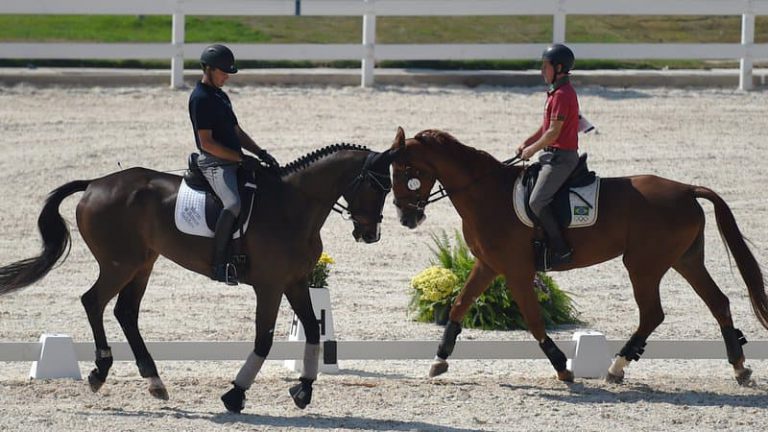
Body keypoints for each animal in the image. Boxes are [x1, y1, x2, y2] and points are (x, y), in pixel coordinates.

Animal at [0, 144, 396, 412]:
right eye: (377, 187)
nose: (370, 234)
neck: (293, 205)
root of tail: (95, 184)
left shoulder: (296, 282)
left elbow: (314, 330)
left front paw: (304, 390)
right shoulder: (270, 286)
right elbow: (264, 339)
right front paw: (235, 394)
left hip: (143, 263)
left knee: (125, 312)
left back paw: (154, 381)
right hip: (119, 264)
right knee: (93, 301)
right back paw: (101, 371)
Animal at [390, 127, 768, 384]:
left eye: (407, 173)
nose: (407, 218)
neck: (485, 193)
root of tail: (687, 189)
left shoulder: (515, 270)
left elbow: (533, 320)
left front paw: (562, 367)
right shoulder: (488, 265)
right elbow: (458, 306)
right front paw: (438, 360)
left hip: (643, 265)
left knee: (653, 314)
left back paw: (616, 367)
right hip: (685, 260)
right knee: (718, 302)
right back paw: (739, 367)